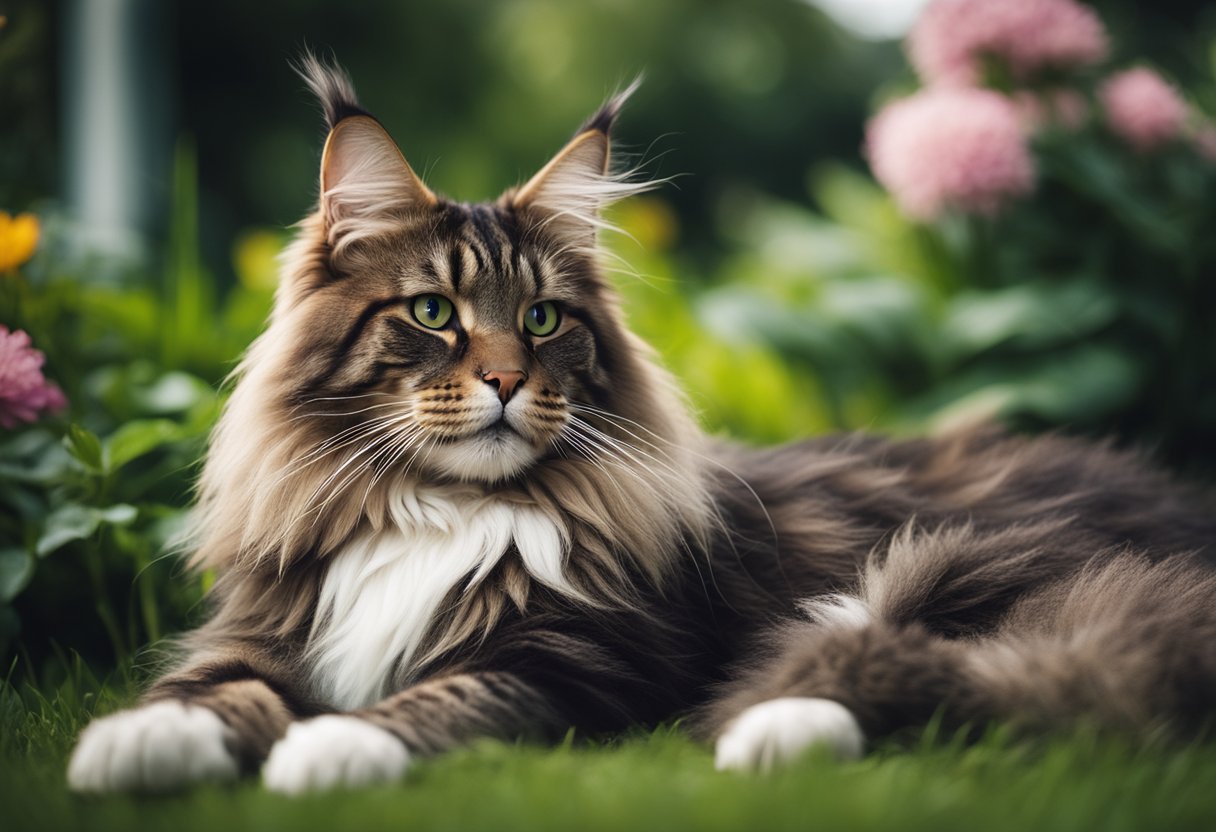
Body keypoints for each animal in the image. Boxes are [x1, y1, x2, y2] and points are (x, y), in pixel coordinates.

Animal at [66, 55, 1216, 797]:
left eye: (541, 319)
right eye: (433, 312)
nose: (504, 380)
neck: (435, 511)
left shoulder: (576, 663)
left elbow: (437, 700)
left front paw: (327, 749)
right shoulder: (265, 632)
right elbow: (207, 691)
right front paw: (135, 745)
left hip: (983, 576)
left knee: (989, 680)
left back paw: (776, 729)